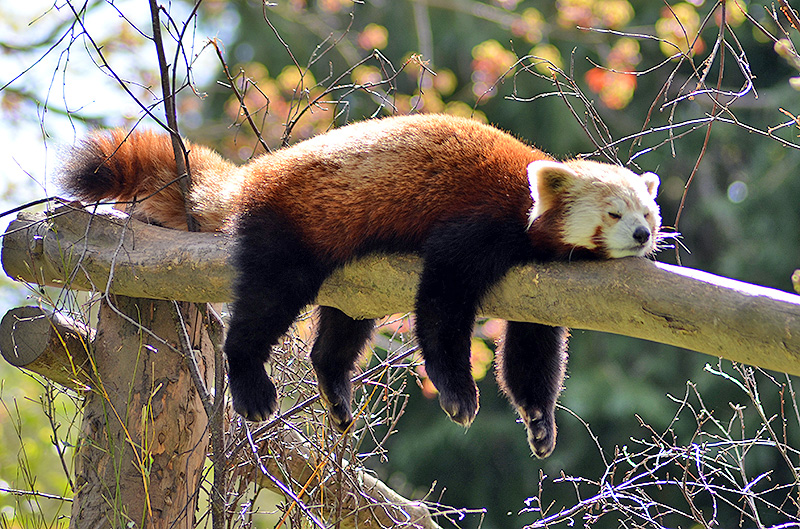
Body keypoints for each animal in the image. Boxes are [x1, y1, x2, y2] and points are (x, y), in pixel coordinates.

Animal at [59, 114, 664, 458]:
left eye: (648, 212)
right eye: (614, 213)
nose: (643, 235)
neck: (528, 209)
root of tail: (252, 174)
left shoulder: (543, 288)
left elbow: (532, 351)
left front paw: (539, 421)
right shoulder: (478, 223)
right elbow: (440, 308)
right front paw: (458, 392)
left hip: (352, 277)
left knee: (341, 329)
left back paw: (334, 384)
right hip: (290, 231)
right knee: (264, 306)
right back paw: (251, 381)